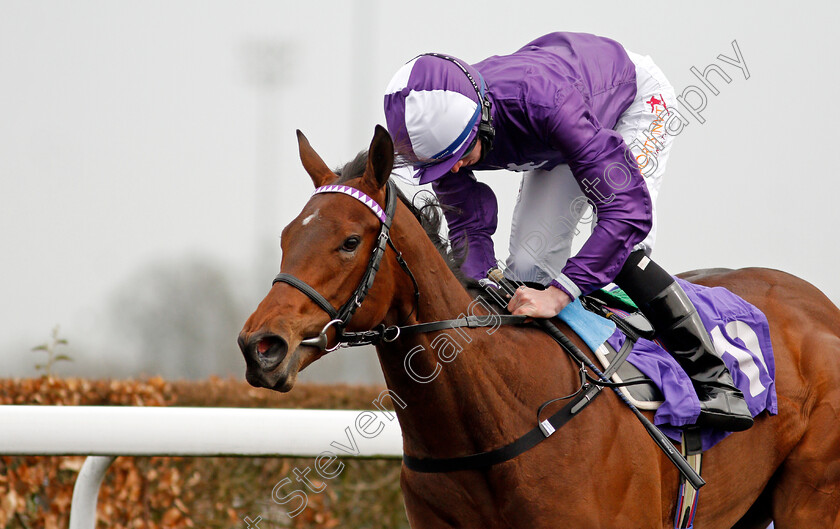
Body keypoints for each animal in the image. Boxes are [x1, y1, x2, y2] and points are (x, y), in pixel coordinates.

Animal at [240, 126, 840, 524]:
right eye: (287, 237)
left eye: (348, 241)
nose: (260, 346)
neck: (495, 416)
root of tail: (820, 305)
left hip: (812, 497)